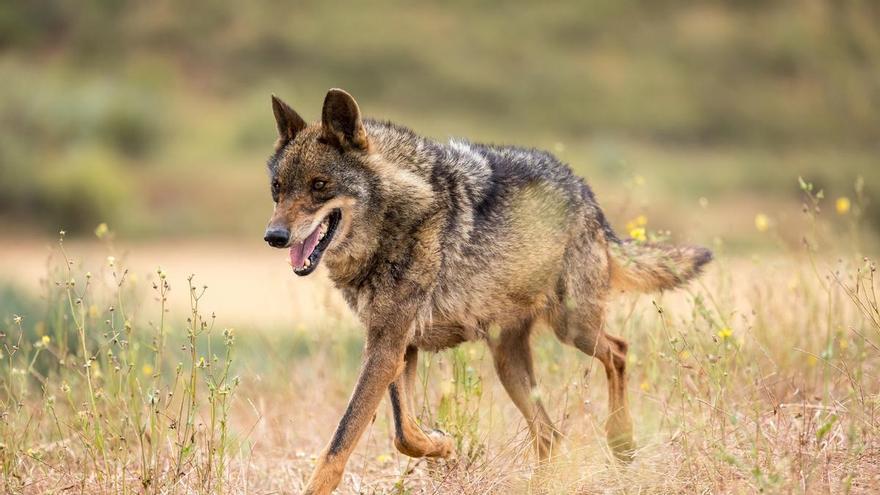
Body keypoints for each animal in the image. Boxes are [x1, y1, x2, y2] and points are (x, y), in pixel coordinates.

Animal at [263, 88, 711, 494]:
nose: (274, 237)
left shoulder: (389, 346)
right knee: (549, 433)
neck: (397, 218)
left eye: (319, 185)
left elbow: (341, 443)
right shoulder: (394, 344)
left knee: (618, 352)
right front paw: (442, 445)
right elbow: (404, 432)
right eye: (277, 189)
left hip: (573, 329)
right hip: (509, 362)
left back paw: (621, 440)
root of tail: (585, 191)